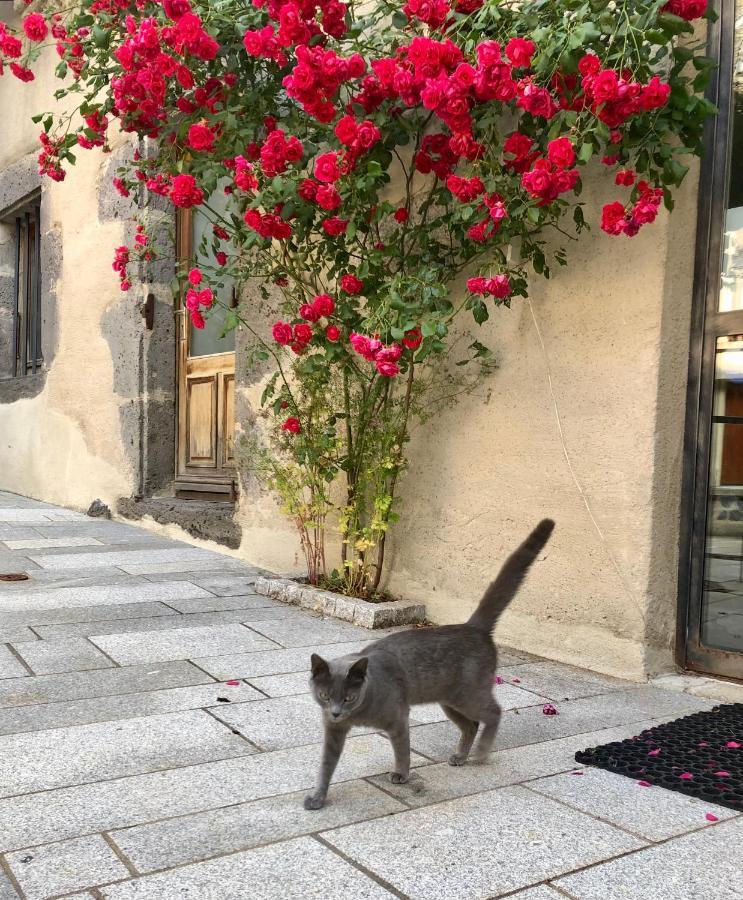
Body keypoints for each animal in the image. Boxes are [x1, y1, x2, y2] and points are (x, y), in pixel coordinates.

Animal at [306, 520, 556, 808]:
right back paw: (460, 757)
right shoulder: (334, 731)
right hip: (448, 701)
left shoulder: (398, 718)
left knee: (494, 713)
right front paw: (318, 797)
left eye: (349, 698)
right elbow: (326, 765)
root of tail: (473, 627)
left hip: (468, 695)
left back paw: (481, 753)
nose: (336, 712)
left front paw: (401, 775)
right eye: (324, 695)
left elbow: (402, 751)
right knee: (471, 725)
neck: (358, 714)